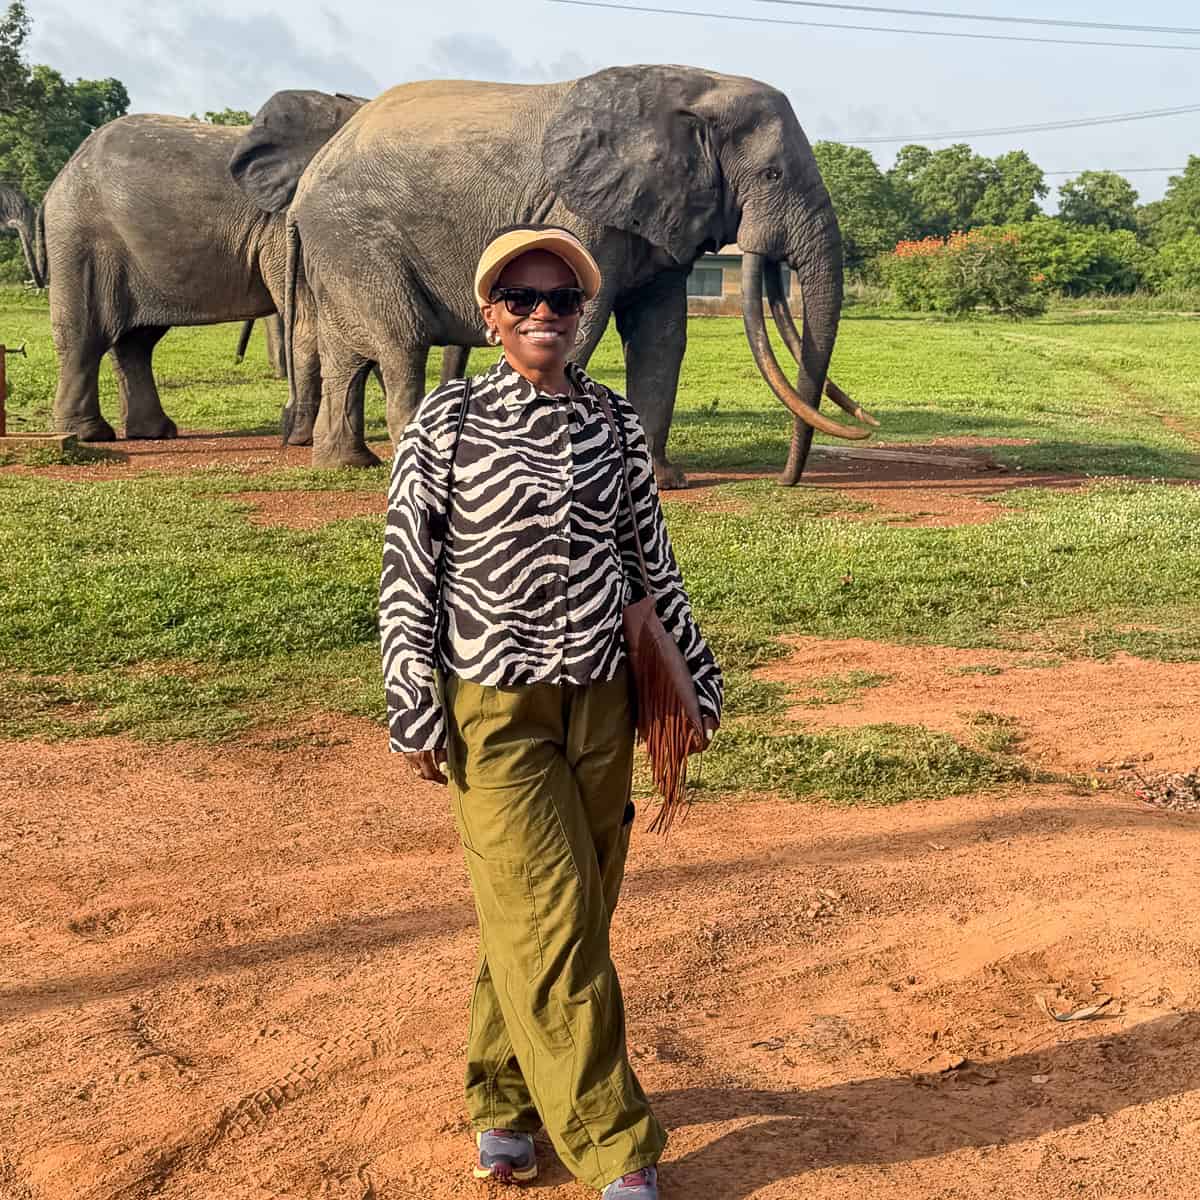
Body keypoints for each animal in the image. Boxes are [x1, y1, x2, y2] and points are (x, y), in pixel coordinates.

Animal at [42, 91, 364, 442]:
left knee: (135, 343)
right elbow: (310, 318)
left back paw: (152, 432)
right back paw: (89, 434)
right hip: (79, 239)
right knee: (84, 334)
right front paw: (301, 439)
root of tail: (60, 177)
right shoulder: (283, 223)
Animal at [230, 67, 875, 483]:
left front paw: (661, 478)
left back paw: (346, 464)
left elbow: (662, 336)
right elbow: (587, 317)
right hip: (359, 240)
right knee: (400, 343)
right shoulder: (577, 208)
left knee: (347, 356)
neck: (696, 86)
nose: (786, 482)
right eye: (771, 176)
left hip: (338, 252)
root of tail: (311, 177)